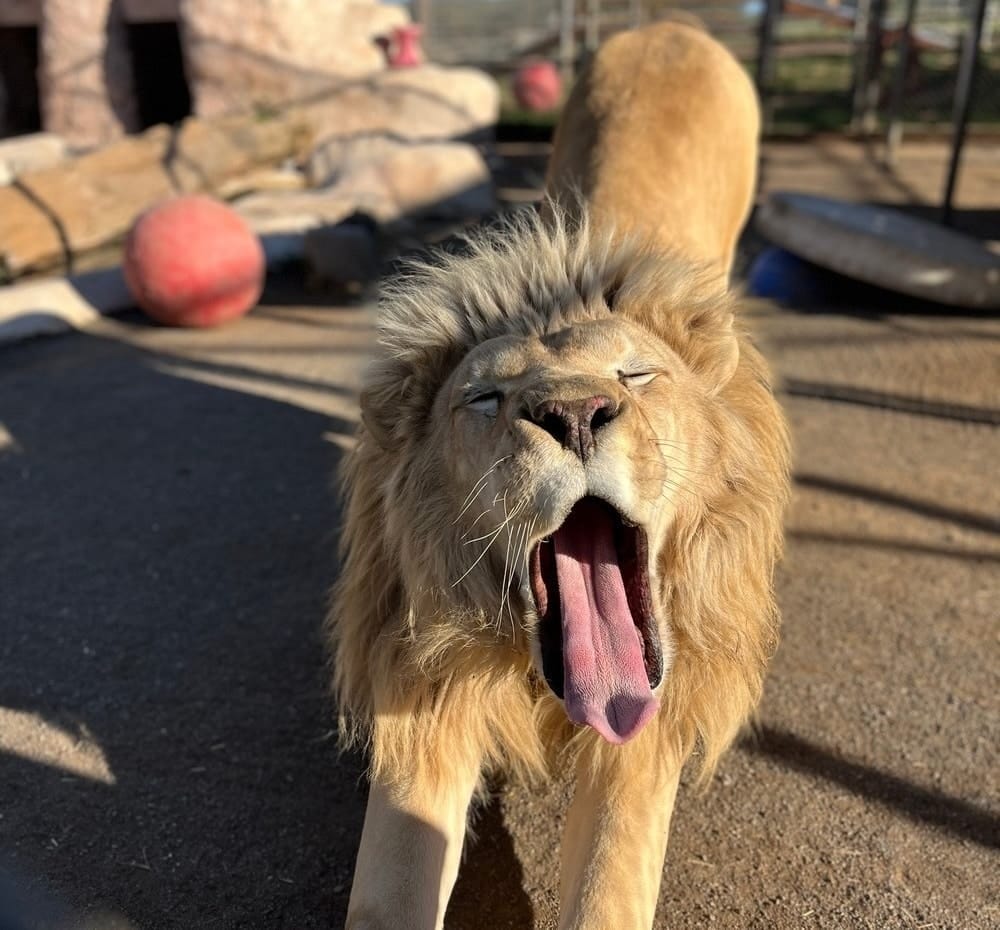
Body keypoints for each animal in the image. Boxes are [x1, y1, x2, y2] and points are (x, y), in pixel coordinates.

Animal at [328, 20, 790, 930]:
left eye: (637, 376)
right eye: (486, 396)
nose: (574, 413)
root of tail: (671, 26)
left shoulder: (647, 731)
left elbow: (608, 885)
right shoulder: (426, 694)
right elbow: (390, 892)